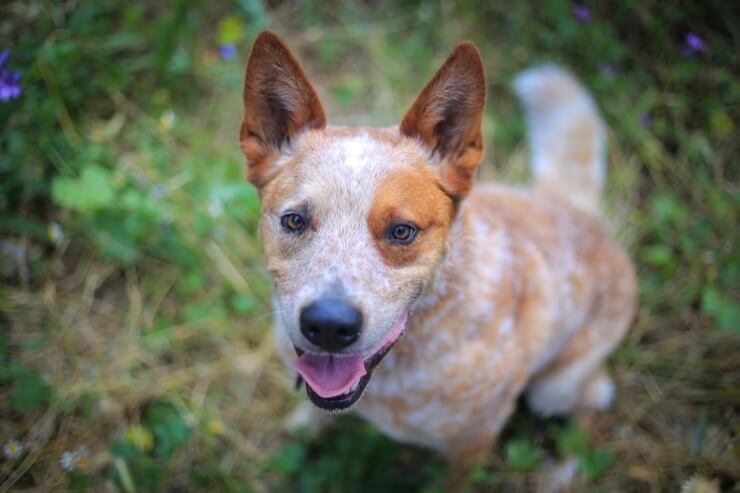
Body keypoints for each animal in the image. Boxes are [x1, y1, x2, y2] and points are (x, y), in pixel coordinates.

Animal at [237, 31, 636, 476]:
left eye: (402, 231)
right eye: (294, 221)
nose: (327, 325)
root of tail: (575, 208)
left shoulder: (473, 442)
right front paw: (302, 429)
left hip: (554, 389)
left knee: (594, 401)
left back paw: (563, 472)